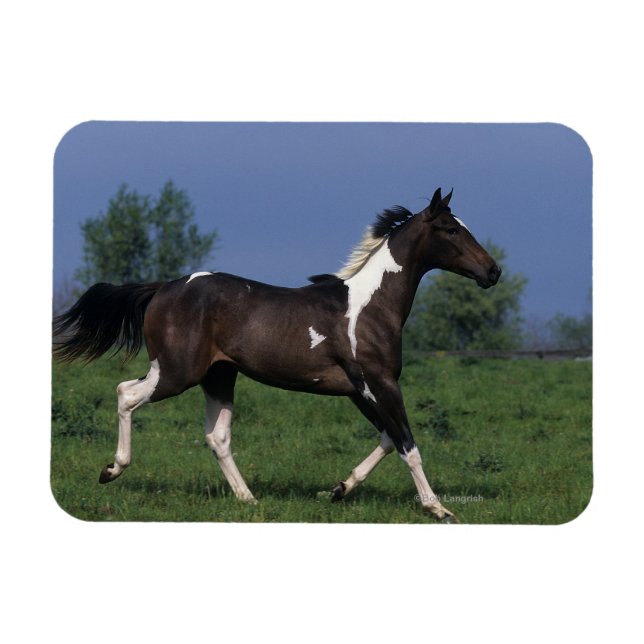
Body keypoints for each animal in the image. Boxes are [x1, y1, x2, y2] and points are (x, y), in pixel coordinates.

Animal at [53, 187, 501, 522]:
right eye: (450, 229)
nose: (492, 272)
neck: (370, 306)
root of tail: (163, 287)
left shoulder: (359, 390)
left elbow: (389, 439)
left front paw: (339, 489)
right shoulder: (380, 383)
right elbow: (408, 443)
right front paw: (438, 509)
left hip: (219, 375)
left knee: (217, 436)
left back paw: (248, 498)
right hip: (177, 372)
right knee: (126, 393)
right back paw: (111, 470)